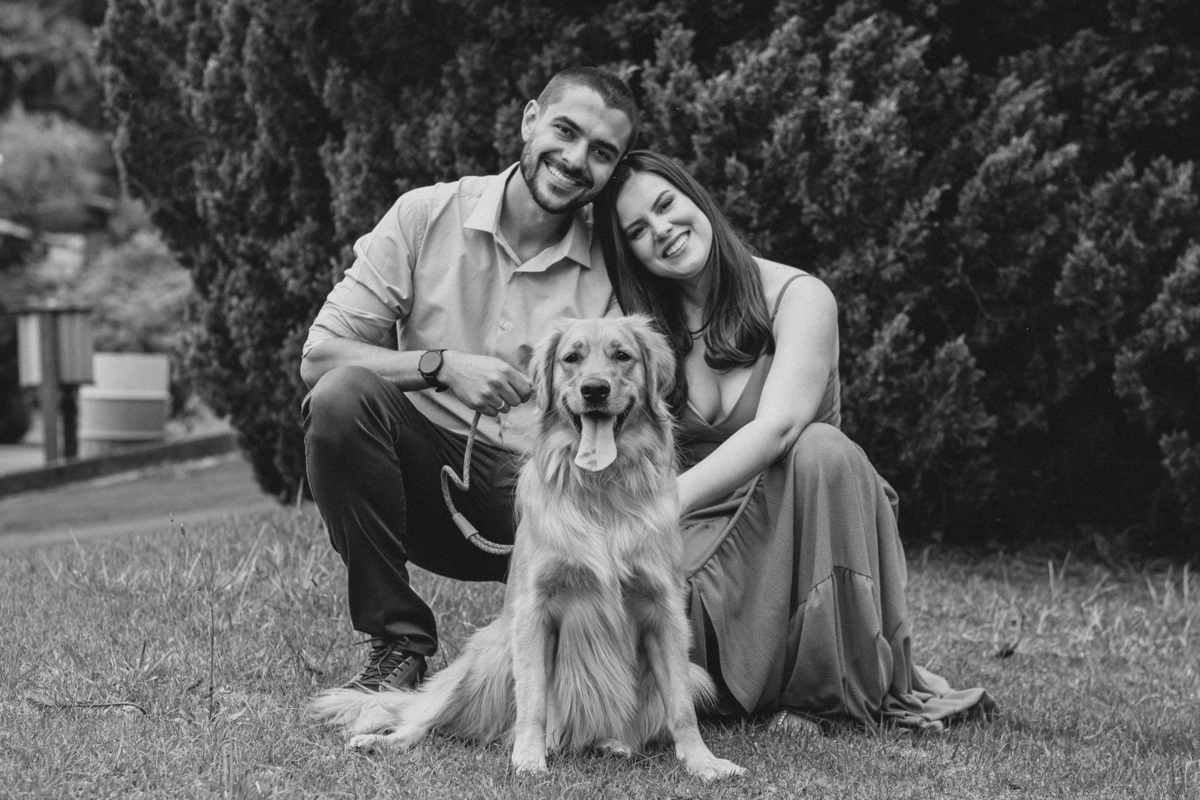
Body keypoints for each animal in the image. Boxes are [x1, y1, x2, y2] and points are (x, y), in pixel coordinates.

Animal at [309, 315, 744, 781]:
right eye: (571, 358)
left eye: (622, 355)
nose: (594, 389)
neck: (600, 491)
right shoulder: (535, 609)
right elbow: (534, 699)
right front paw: (529, 757)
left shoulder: (665, 612)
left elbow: (680, 707)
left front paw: (703, 761)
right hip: (489, 657)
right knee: (423, 720)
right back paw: (382, 742)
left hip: (699, 677)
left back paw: (612, 743)